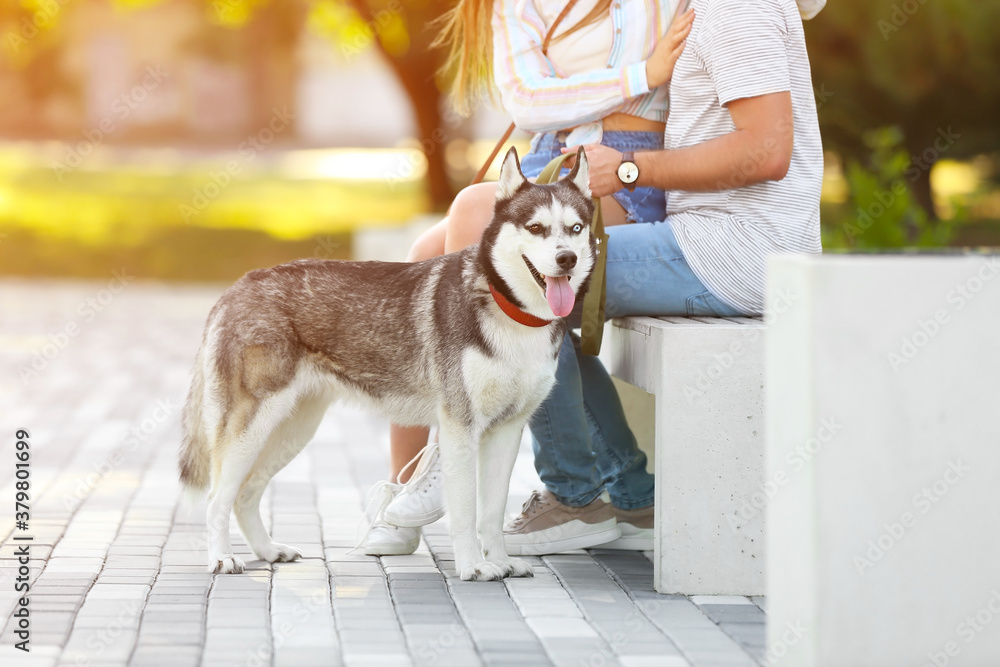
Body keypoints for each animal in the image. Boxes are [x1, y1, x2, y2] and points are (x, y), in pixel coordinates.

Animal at [178, 149, 592, 580]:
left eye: (576, 228)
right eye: (536, 227)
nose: (566, 258)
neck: (510, 312)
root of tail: (239, 285)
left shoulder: (506, 431)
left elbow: (491, 514)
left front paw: (501, 561)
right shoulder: (460, 429)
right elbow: (465, 512)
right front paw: (473, 566)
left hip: (292, 431)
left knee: (245, 493)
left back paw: (268, 550)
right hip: (251, 429)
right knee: (216, 499)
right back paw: (221, 558)